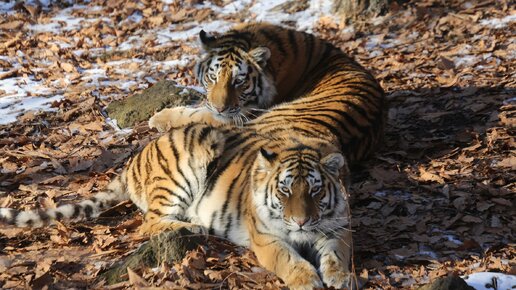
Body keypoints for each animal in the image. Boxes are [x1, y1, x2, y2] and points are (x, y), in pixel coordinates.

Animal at [151, 22, 384, 163]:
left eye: (238, 81)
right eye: (213, 77)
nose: (220, 108)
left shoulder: (236, 116)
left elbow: (194, 113)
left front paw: (158, 117)